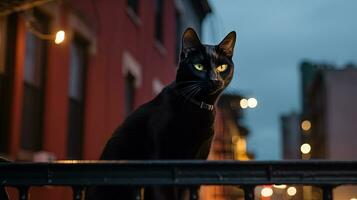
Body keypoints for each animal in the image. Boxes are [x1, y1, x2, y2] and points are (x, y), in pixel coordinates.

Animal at [85, 27, 236, 200]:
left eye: (222, 67)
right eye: (199, 66)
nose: (214, 80)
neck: (198, 106)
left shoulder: (198, 159)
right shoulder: (161, 157)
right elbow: (162, 192)